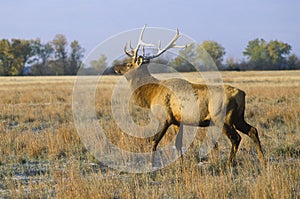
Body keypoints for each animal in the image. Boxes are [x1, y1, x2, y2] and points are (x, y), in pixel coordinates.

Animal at [113, 24, 264, 168]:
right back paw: (263, 160)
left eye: (128, 64)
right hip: (238, 117)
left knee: (236, 138)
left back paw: (229, 164)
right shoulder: (177, 120)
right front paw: (180, 165)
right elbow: (178, 144)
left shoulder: (165, 118)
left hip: (222, 117)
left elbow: (154, 141)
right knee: (253, 130)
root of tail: (242, 94)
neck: (151, 95)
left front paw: (151, 165)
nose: (115, 67)